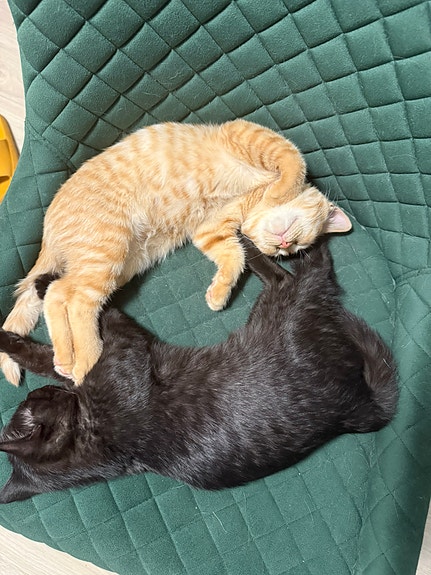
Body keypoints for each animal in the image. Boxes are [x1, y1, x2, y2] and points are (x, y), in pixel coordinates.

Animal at [0, 119, 351, 385]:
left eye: (296, 250)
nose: (283, 245)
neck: (250, 198)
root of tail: (48, 231)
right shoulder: (244, 133)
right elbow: (293, 160)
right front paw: (281, 189)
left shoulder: (210, 229)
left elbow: (234, 256)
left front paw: (218, 294)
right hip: (106, 254)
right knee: (73, 300)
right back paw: (86, 360)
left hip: (111, 267)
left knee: (58, 292)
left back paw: (66, 357)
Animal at [0, 236, 397, 503]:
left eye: (31, 401)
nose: (41, 391)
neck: (95, 438)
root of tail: (355, 410)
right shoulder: (124, 347)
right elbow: (95, 319)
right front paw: (47, 284)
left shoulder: (94, 363)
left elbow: (46, 354)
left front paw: (15, 324)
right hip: (283, 310)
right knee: (301, 274)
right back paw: (271, 243)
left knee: (291, 275)